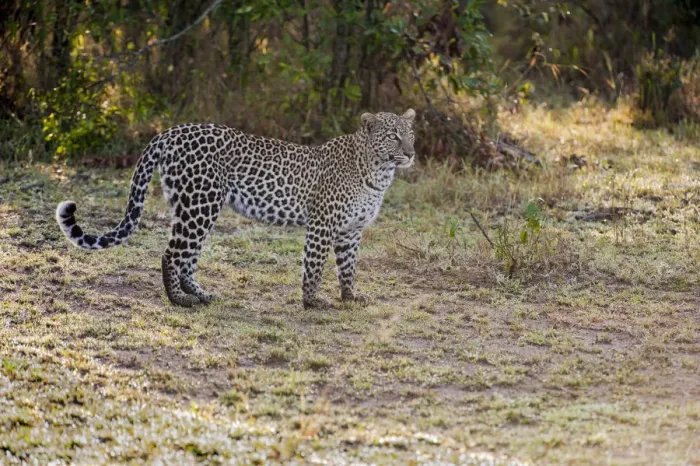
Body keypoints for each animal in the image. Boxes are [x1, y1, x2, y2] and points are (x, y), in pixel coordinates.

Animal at [55, 109, 416, 309]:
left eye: (410, 134)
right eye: (393, 136)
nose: (411, 153)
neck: (378, 172)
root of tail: (171, 131)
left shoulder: (351, 231)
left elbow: (348, 268)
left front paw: (350, 297)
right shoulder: (322, 224)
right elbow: (314, 267)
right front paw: (312, 302)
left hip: (191, 205)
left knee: (187, 259)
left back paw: (202, 296)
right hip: (200, 204)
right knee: (171, 254)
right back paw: (180, 301)